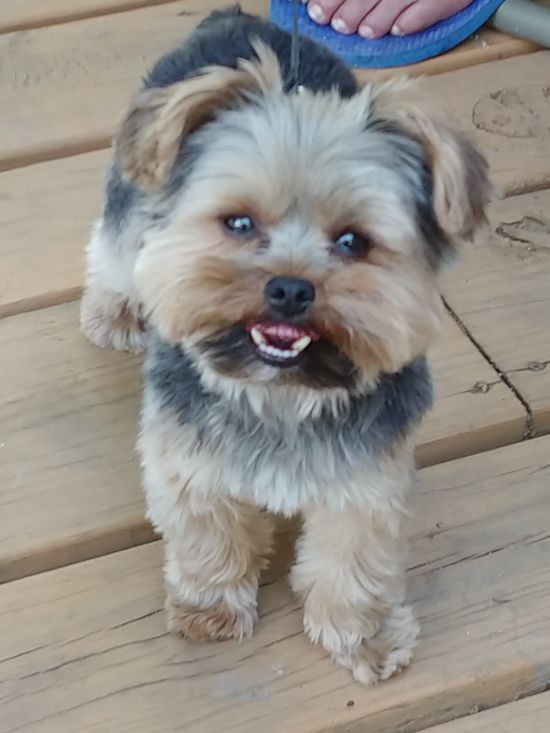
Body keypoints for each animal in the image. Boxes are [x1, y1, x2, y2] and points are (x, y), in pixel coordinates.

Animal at [81, 5, 492, 684]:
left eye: (353, 242)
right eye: (239, 223)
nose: (291, 288)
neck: (281, 393)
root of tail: (239, 19)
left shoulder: (367, 480)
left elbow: (353, 562)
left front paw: (363, 636)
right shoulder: (191, 462)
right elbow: (208, 534)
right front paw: (211, 607)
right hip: (134, 196)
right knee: (116, 248)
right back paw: (114, 307)